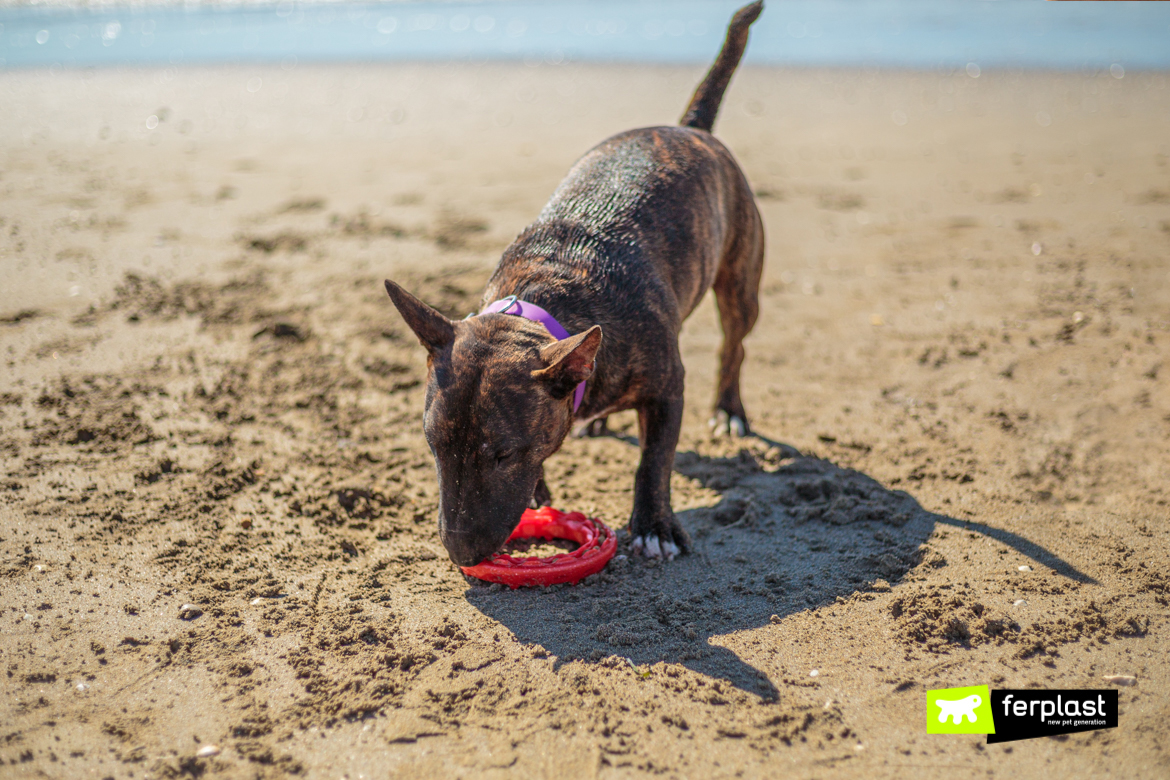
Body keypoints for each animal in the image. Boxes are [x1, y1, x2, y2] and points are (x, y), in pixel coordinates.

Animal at [386, 3, 767, 568]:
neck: (544, 297)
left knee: (734, 346)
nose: (461, 554)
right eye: (433, 445)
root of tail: (687, 129)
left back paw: (728, 412)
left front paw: (654, 527)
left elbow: (655, 460)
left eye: (503, 454)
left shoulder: (667, 387)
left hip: (741, 281)